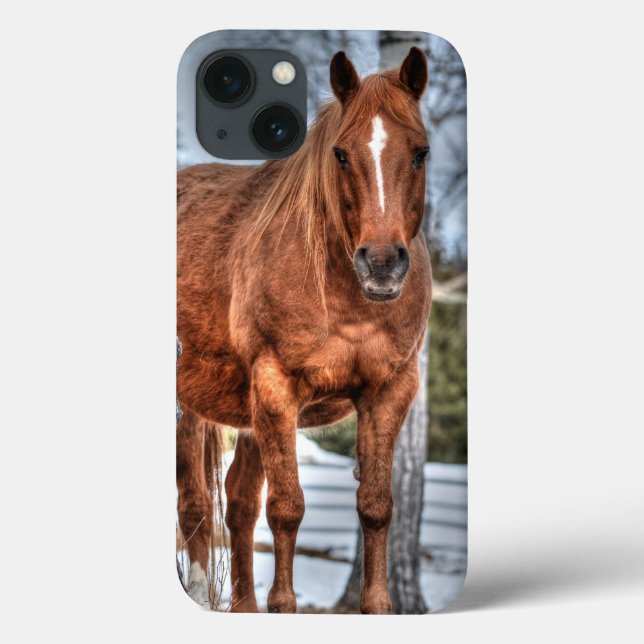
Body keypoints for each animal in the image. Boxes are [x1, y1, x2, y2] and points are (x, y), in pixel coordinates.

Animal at [176, 46, 432, 614]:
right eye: (340, 155)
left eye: (422, 152)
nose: (382, 264)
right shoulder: (276, 387)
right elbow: (286, 508)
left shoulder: (389, 391)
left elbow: (376, 507)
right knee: (195, 504)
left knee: (237, 504)